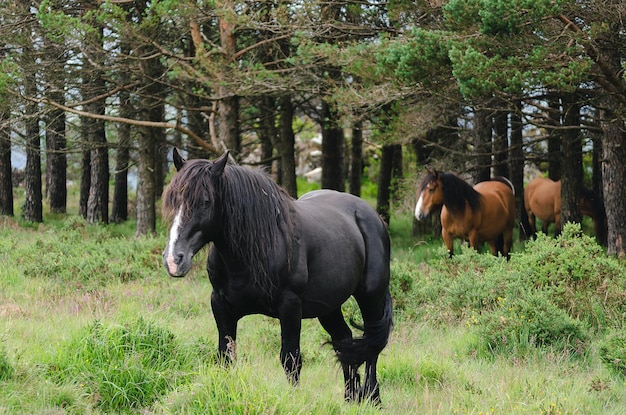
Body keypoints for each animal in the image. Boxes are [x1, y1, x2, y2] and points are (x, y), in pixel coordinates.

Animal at [161, 150, 390, 404]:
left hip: (371, 297)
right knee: (345, 341)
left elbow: (291, 360)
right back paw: (350, 398)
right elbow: (226, 356)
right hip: (329, 307)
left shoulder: (290, 306)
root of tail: (372, 216)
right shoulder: (220, 305)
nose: (173, 259)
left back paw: (373, 398)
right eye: (172, 199)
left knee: (371, 344)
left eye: (206, 201)